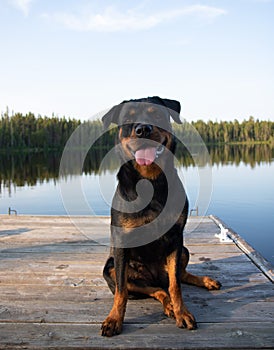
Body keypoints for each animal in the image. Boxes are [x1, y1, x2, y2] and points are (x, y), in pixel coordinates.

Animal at [100, 95, 220, 336]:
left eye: (155, 113)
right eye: (128, 119)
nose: (143, 129)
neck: (151, 181)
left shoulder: (175, 238)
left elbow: (176, 285)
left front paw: (182, 313)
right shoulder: (122, 244)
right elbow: (121, 292)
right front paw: (114, 319)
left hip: (184, 250)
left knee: (176, 278)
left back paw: (203, 283)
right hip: (110, 268)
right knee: (154, 289)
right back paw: (168, 305)